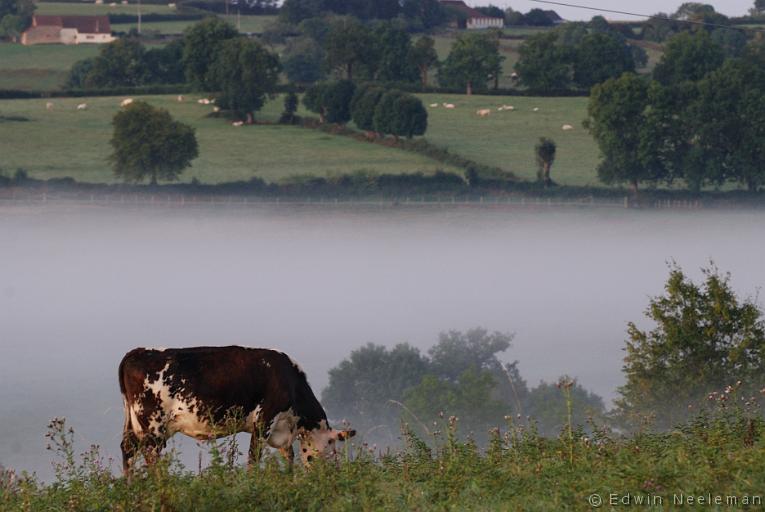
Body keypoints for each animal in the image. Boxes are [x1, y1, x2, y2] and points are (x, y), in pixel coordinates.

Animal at [118, 346, 356, 474]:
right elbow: (253, 458)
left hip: (134, 422)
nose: (332, 473)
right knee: (151, 457)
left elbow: (289, 457)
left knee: (128, 449)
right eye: (332, 445)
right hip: (153, 426)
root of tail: (137, 352)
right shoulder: (264, 421)